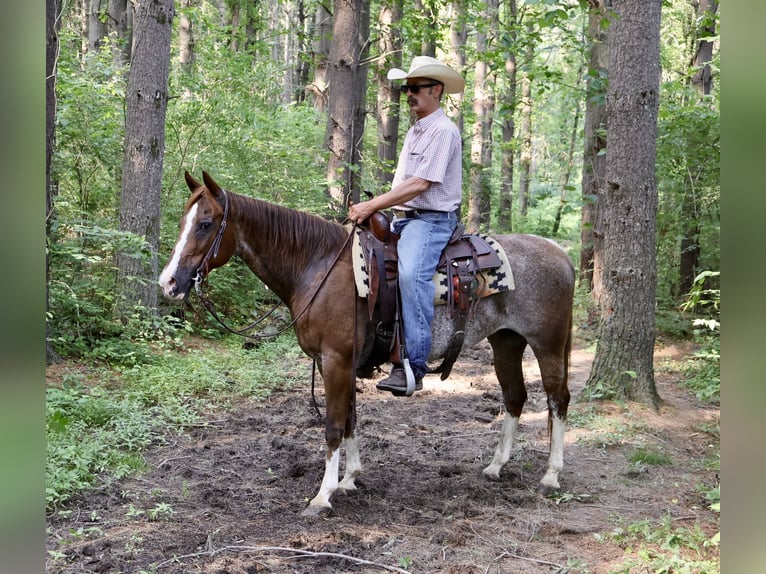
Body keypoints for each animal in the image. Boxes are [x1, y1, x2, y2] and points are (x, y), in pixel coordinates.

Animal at [159, 170, 575, 518]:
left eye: (206, 224)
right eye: (182, 222)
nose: (169, 283)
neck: (316, 266)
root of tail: (560, 253)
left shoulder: (336, 360)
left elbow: (332, 425)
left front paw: (322, 496)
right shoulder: (338, 361)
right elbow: (349, 420)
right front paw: (349, 479)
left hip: (547, 344)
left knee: (558, 399)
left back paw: (551, 475)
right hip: (506, 342)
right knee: (515, 397)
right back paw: (495, 466)